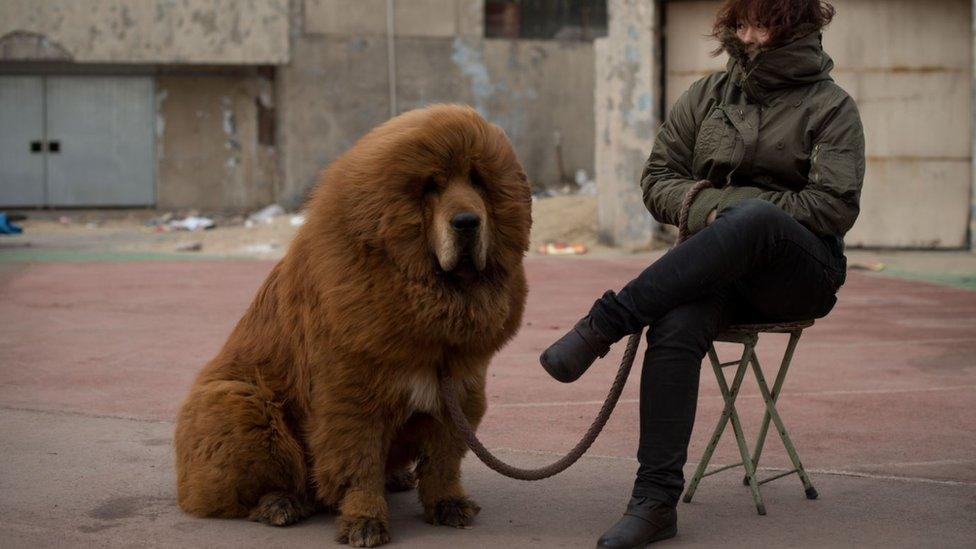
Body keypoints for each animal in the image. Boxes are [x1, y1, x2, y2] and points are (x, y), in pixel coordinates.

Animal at [172, 103, 528, 544]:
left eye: (477, 181)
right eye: (431, 186)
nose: (466, 221)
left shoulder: (460, 389)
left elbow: (443, 460)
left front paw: (448, 503)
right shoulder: (352, 396)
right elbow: (358, 465)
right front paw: (365, 521)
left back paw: (396, 478)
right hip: (239, 403)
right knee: (252, 485)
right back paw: (280, 504)